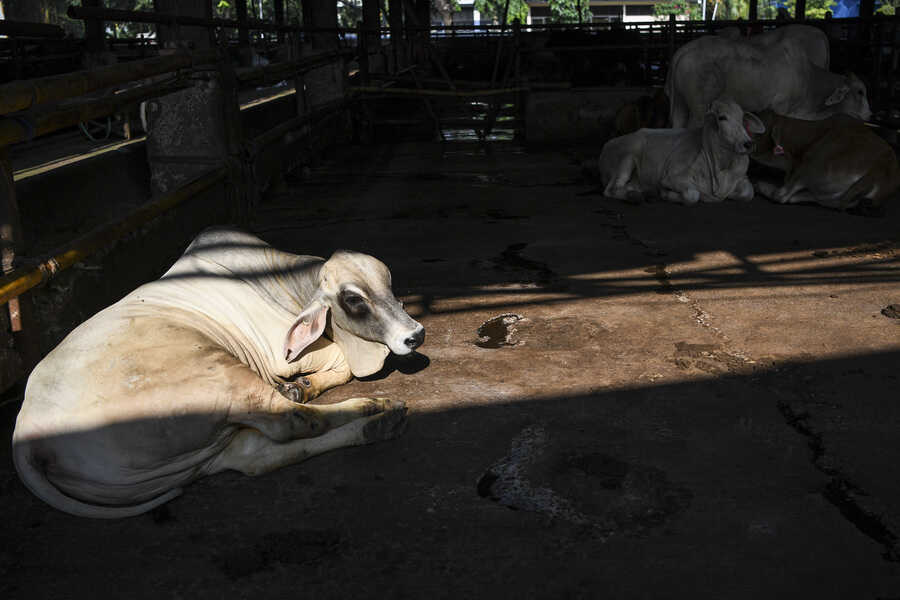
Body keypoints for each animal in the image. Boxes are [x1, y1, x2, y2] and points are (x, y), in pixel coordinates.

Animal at [13, 227, 424, 518]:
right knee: (293, 423)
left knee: (257, 457)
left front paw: (302, 386)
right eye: (353, 298)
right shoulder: (281, 355)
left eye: (390, 285)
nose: (415, 334)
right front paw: (303, 386)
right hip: (218, 375)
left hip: (193, 457)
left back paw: (375, 427)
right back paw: (372, 408)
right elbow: (341, 362)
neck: (280, 278)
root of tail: (26, 436)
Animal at [595, 97, 765, 205]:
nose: (748, 144)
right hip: (628, 157)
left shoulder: (742, 179)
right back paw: (635, 197)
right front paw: (666, 194)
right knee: (611, 190)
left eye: (742, 118)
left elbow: (748, 193)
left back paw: (646, 193)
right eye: (722, 117)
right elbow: (693, 195)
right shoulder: (673, 177)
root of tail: (606, 145)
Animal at [666, 25, 870, 128]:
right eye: (860, 92)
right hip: (700, 108)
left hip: (680, 105)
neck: (810, 79)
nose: (870, 114)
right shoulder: (783, 109)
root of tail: (683, 51)